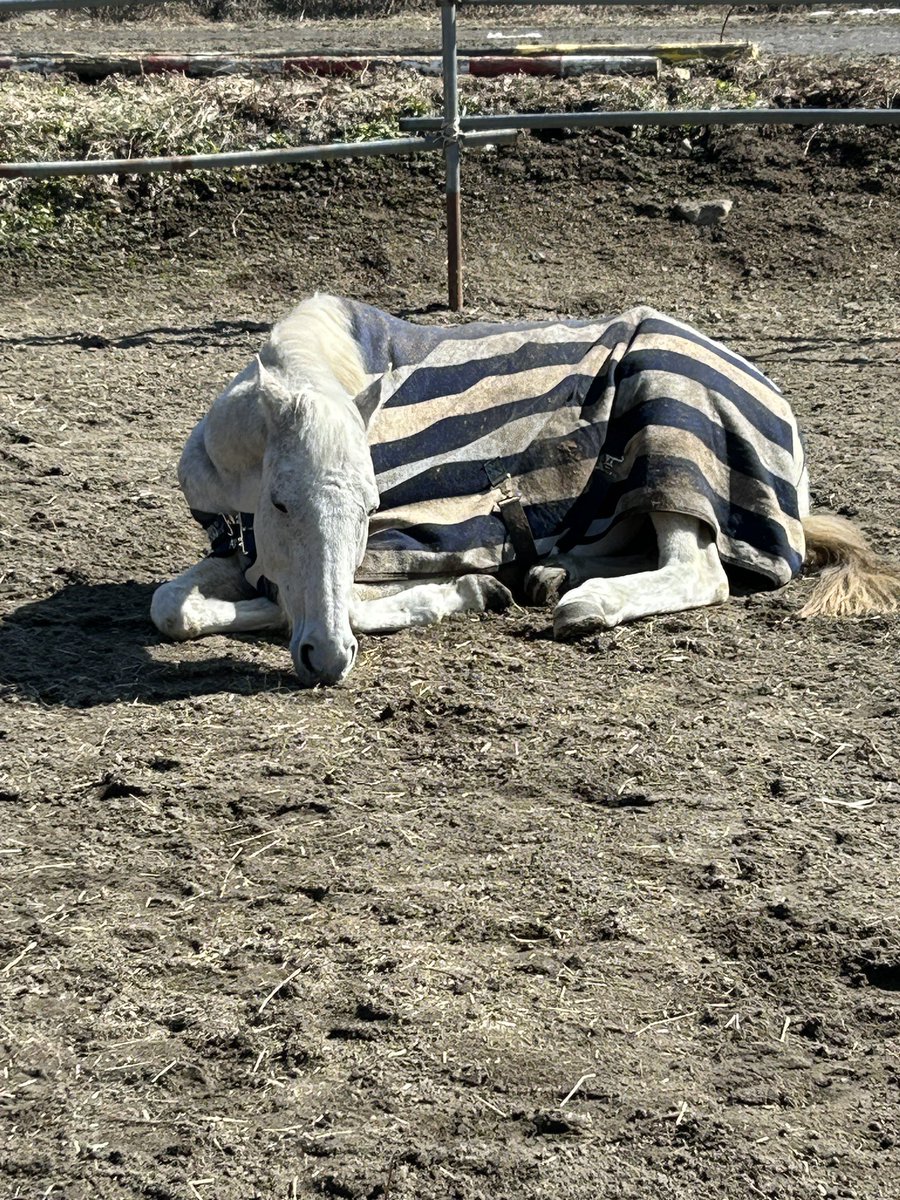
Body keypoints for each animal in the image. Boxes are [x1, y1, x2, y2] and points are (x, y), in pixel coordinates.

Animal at [151, 294, 900, 686]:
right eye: (282, 504)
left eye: (369, 510)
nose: (328, 661)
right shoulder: (240, 547)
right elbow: (172, 608)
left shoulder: (415, 535)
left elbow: (335, 603)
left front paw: (466, 592)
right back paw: (556, 571)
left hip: (669, 434)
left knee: (700, 569)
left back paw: (582, 601)